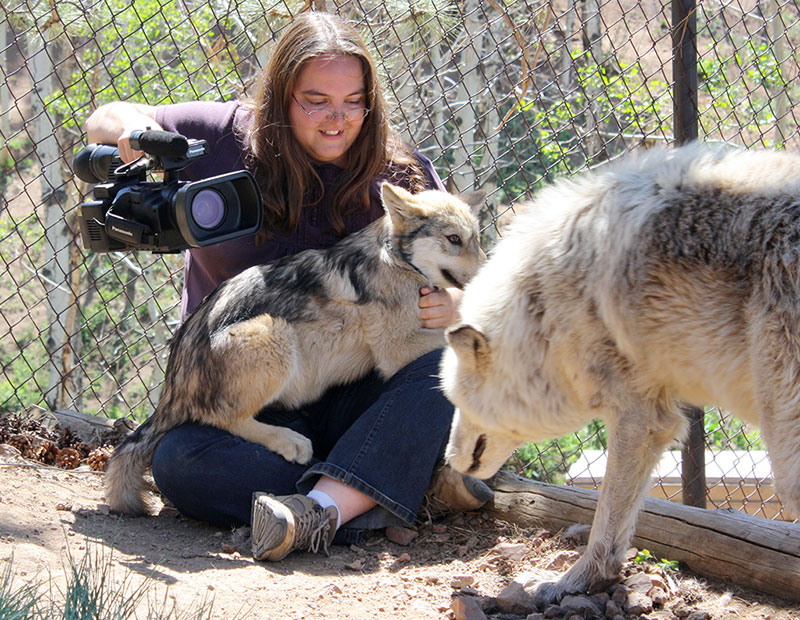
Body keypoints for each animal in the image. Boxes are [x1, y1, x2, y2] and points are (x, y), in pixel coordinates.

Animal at [107, 182, 488, 516]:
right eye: (454, 240)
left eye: (477, 240)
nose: (489, 278)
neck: (397, 260)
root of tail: (170, 389)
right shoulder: (396, 351)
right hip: (274, 331)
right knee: (225, 418)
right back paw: (290, 443)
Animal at [440, 144, 800, 604]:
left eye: (456, 402)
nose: (449, 460)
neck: (542, 312)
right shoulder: (657, 417)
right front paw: (597, 579)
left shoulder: (639, 418)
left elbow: (605, 515)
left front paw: (571, 582)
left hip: (785, 455)